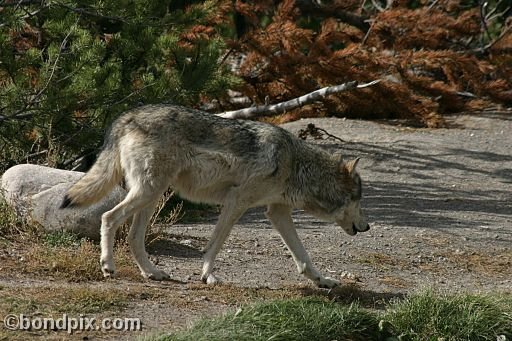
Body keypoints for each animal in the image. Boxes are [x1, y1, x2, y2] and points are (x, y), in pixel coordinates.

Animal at [62, 103, 370, 286]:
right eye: (358, 200)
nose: (367, 227)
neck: (295, 165)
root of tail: (128, 116)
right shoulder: (236, 203)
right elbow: (215, 245)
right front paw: (208, 275)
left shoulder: (277, 212)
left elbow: (303, 256)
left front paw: (322, 281)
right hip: (147, 193)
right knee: (108, 217)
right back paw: (108, 266)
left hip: (152, 196)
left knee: (134, 238)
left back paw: (153, 273)